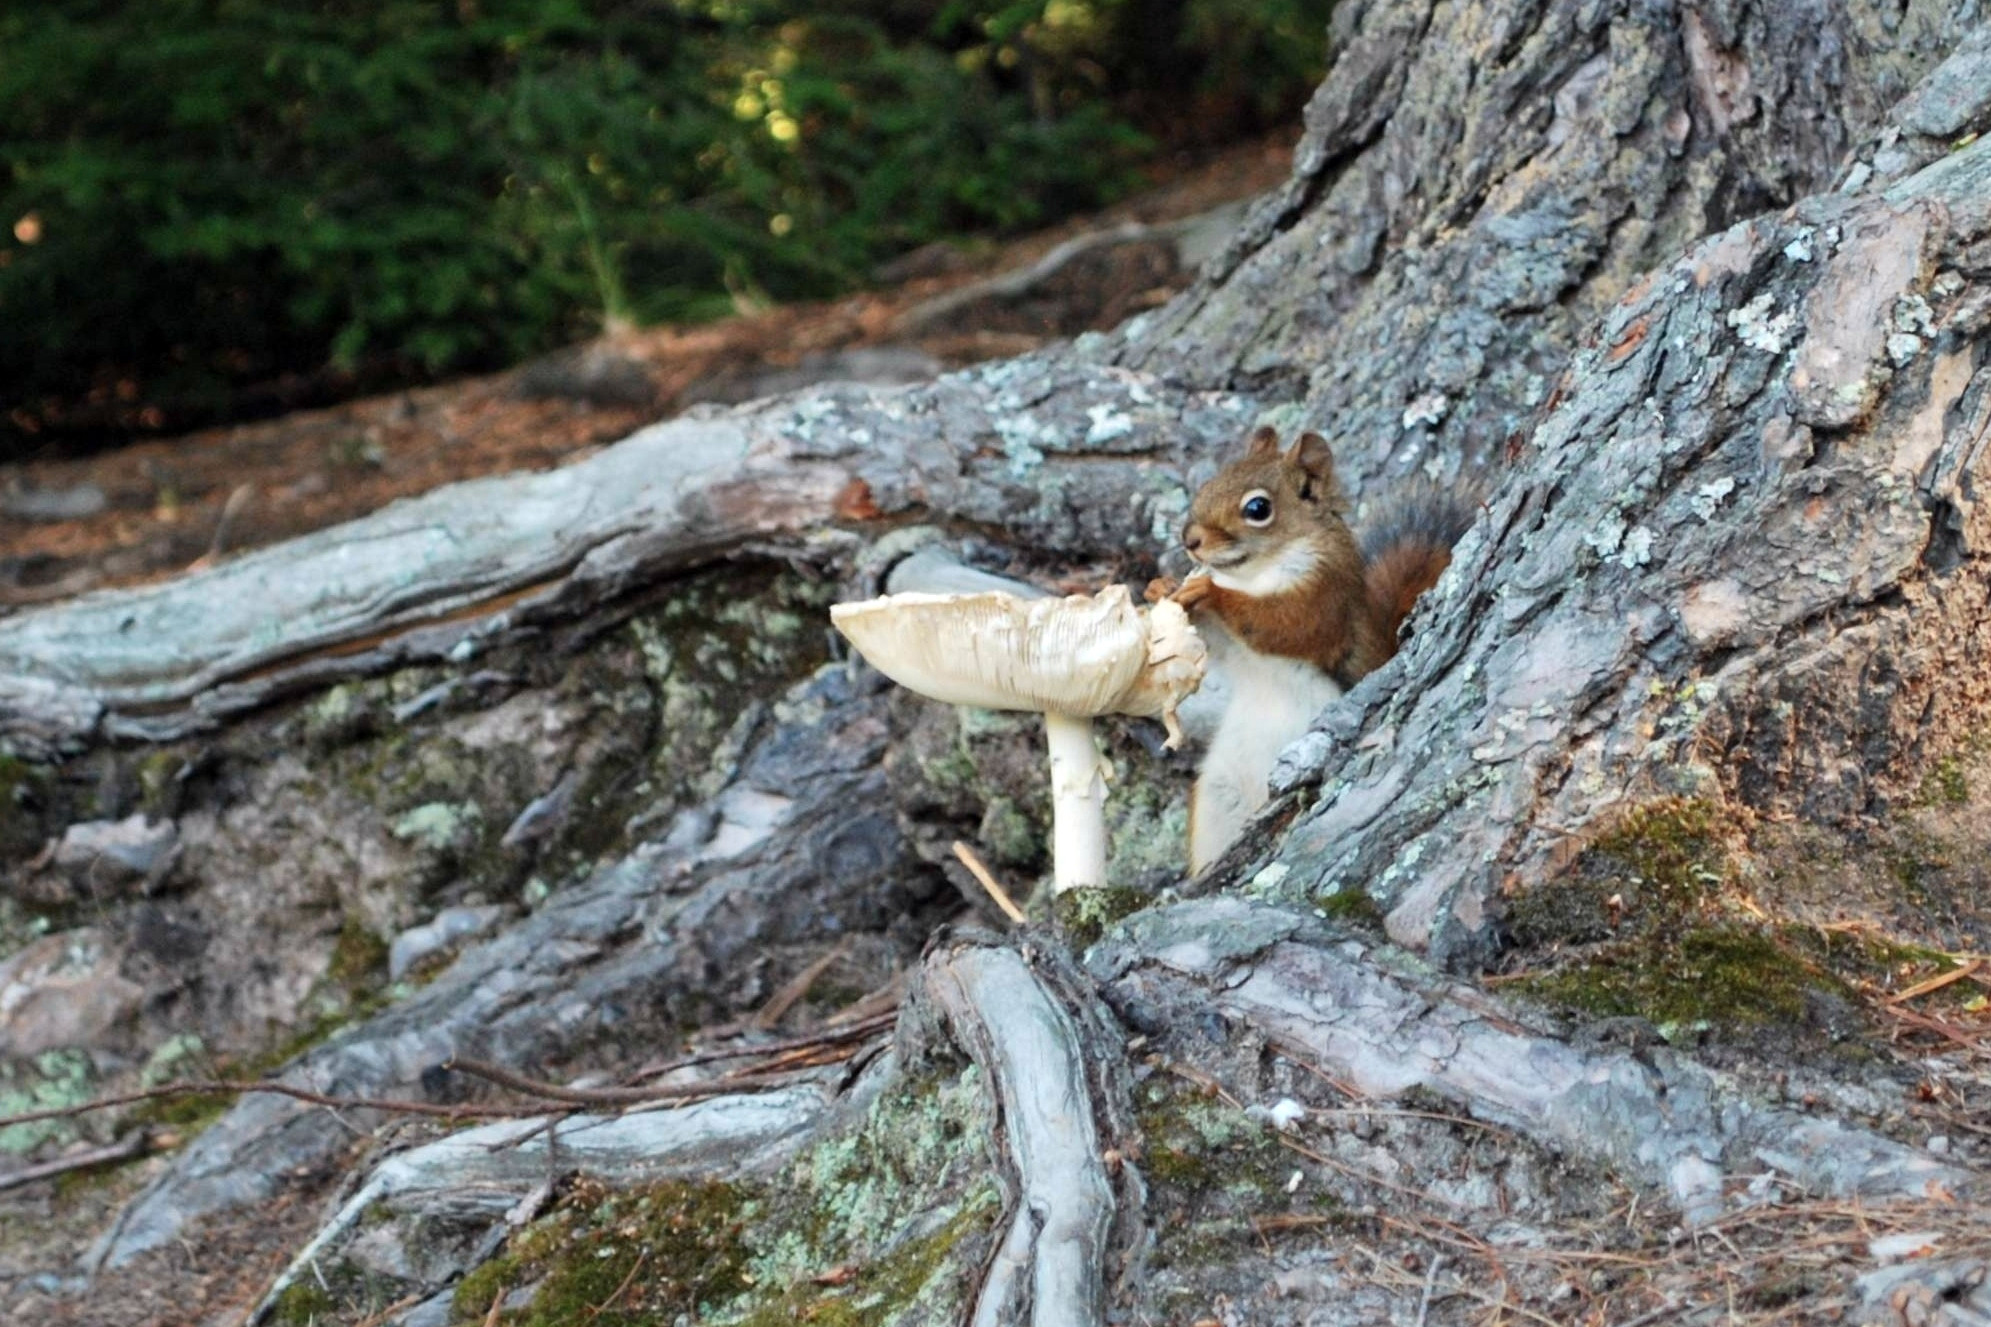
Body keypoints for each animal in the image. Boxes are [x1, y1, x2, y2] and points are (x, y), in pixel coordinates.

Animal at [1149, 425, 1474, 871]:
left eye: (1257, 508)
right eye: (1210, 483)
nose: (1189, 540)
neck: (1257, 573)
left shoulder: (1323, 597)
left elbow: (1283, 625)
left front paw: (1210, 592)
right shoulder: (1236, 646)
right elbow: (1221, 645)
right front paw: (1162, 587)